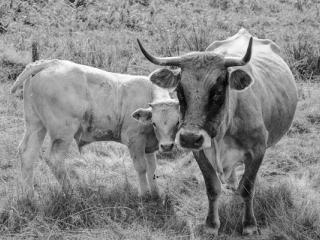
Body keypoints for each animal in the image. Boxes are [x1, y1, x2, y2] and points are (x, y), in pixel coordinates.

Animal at [10, 60, 180, 199]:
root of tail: (50, 63)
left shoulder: (149, 145)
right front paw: (144, 195)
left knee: (27, 153)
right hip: (63, 132)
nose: (167, 146)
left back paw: (29, 196)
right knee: (55, 159)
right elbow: (142, 168)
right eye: (154, 123)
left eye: (177, 122)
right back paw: (71, 193)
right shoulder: (134, 140)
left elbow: (152, 169)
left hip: (35, 123)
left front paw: (156, 194)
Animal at [137, 28, 298, 236]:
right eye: (180, 91)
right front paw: (211, 225)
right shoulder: (200, 152)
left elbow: (247, 188)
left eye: (218, 92)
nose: (189, 137)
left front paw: (249, 224)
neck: (223, 132)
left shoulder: (257, 151)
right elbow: (212, 188)